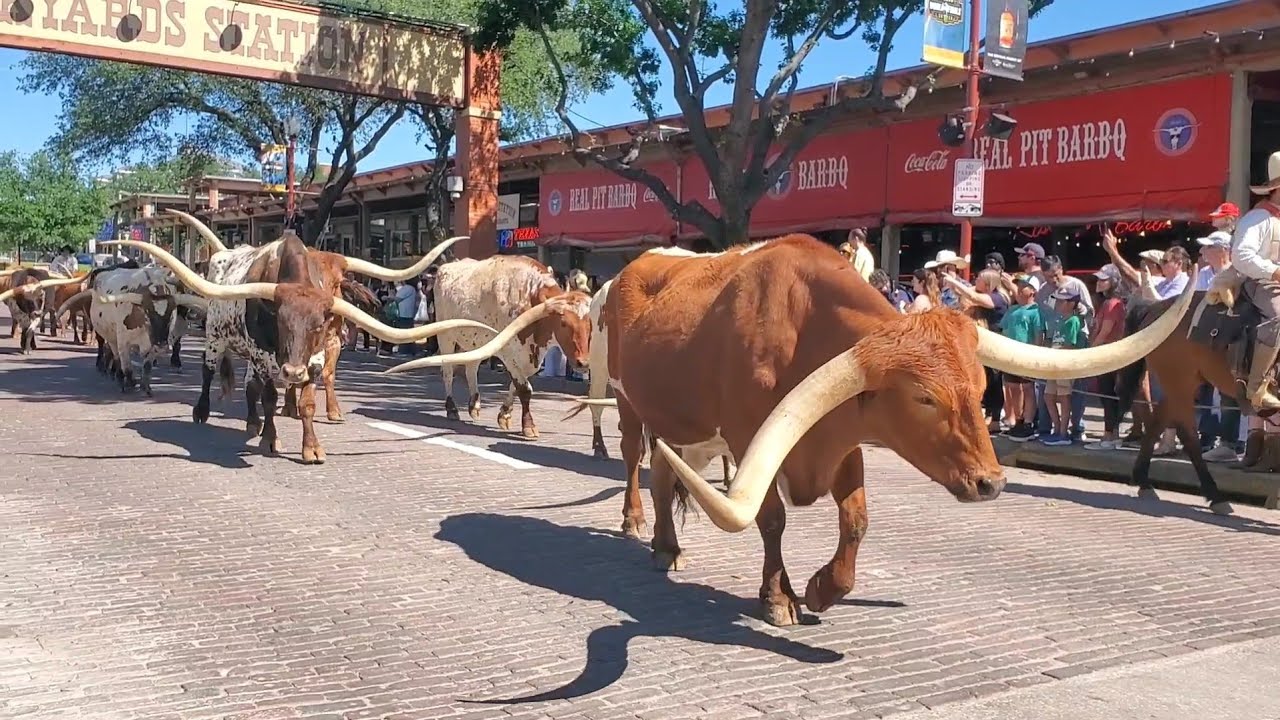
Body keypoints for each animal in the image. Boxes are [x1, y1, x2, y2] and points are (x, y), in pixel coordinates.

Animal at [102, 238, 497, 464]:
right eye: (279, 319)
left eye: (318, 324)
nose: (291, 372)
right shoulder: (265, 357)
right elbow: (269, 397)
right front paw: (270, 439)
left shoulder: (315, 359)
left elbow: (306, 403)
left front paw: (311, 448)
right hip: (215, 336)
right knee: (209, 372)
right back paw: (204, 412)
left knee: (248, 387)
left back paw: (252, 423)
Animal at [384, 255, 593, 440]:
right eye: (564, 323)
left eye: (590, 325)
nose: (583, 363)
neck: (529, 295)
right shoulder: (508, 351)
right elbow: (524, 389)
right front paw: (528, 426)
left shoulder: (528, 356)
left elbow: (517, 385)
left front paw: (505, 414)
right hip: (446, 337)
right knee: (448, 372)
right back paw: (452, 408)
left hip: (476, 341)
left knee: (470, 368)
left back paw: (474, 404)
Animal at [565, 235, 1198, 627]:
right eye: (923, 397)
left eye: (979, 386)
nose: (991, 482)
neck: (802, 328)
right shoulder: (749, 440)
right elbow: (772, 519)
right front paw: (779, 598)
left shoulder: (843, 436)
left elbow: (857, 522)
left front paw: (823, 589)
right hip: (627, 401)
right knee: (634, 463)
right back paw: (647, 534)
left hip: (686, 426)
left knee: (667, 475)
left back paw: (667, 545)